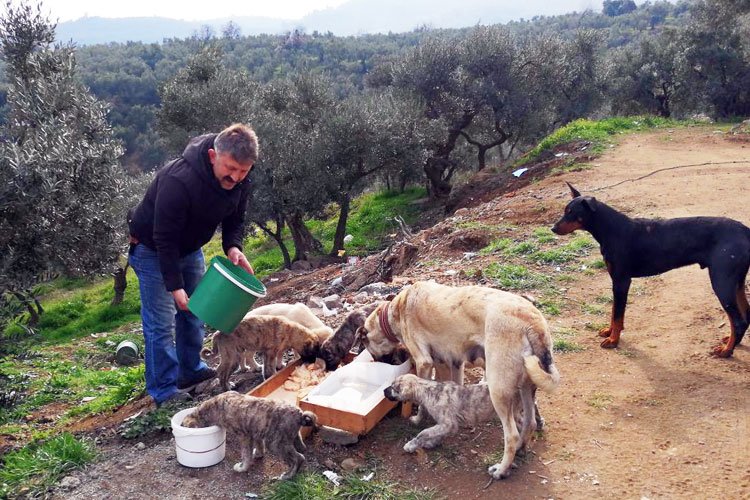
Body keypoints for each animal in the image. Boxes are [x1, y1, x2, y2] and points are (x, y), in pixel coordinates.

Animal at [182, 390, 318, 480]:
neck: (212, 408)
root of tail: (299, 414)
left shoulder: (244, 436)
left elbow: (245, 455)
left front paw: (242, 468)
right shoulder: (255, 433)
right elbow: (259, 446)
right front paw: (258, 454)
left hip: (275, 444)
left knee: (299, 458)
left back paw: (287, 476)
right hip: (291, 438)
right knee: (302, 450)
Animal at [384, 376, 544, 454]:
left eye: (393, 387)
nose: (384, 391)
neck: (427, 389)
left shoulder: (449, 423)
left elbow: (424, 432)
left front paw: (412, 444)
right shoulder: (446, 425)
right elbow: (435, 433)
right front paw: (432, 442)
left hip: (515, 413)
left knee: (527, 424)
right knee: (534, 408)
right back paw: (540, 423)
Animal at [552, 182, 750, 358]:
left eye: (572, 213)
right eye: (565, 211)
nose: (552, 228)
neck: (611, 229)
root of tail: (745, 231)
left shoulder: (621, 281)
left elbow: (618, 314)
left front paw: (613, 340)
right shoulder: (616, 281)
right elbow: (615, 312)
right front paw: (609, 331)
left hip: (721, 281)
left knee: (737, 320)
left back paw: (726, 351)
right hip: (736, 282)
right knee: (745, 315)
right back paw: (732, 342)